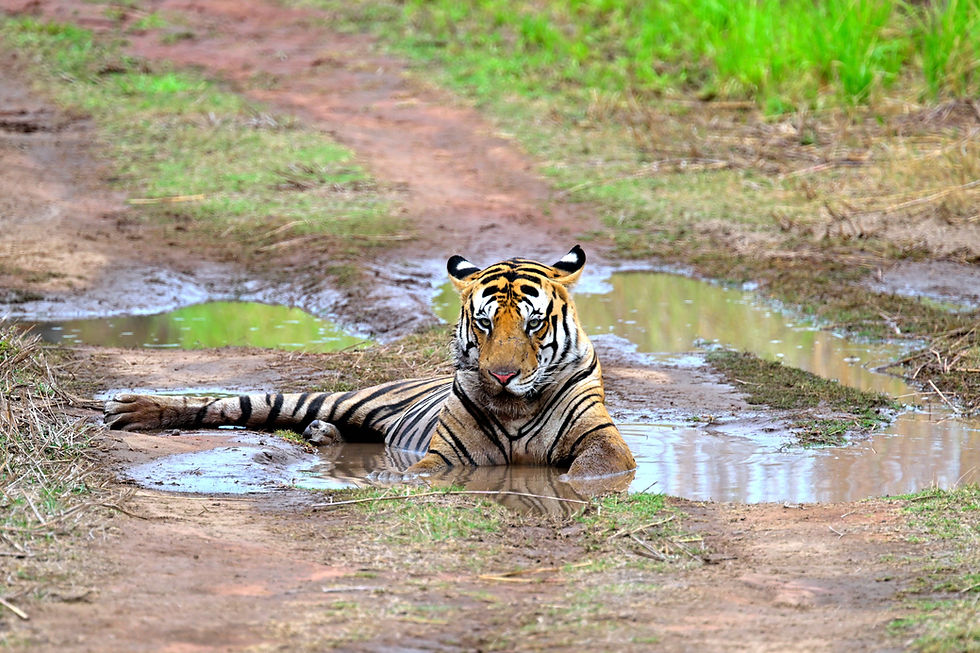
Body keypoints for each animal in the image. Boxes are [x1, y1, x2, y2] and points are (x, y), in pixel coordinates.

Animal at [104, 246, 637, 482]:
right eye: (485, 323)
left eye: (533, 324)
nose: (502, 376)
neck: (516, 405)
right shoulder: (449, 455)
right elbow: (424, 472)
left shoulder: (604, 443)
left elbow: (590, 470)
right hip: (321, 398)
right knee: (230, 406)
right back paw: (131, 409)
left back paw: (323, 435)